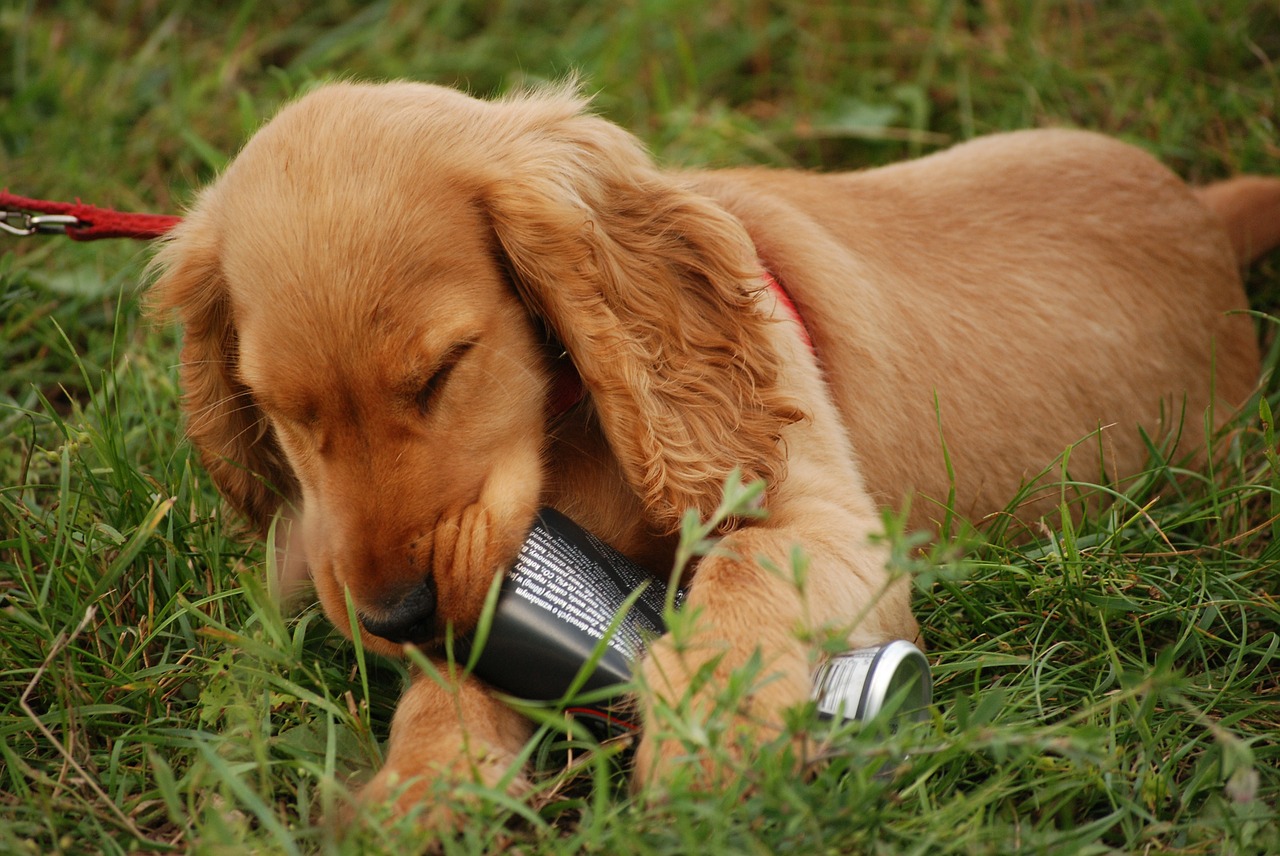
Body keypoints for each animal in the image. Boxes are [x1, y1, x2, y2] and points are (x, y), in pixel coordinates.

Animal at [145, 81, 1274, 818]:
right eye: (277, 409)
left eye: (441, 371)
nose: (392, 617)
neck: (570, 430)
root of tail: (1204, 220)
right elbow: (454, 680)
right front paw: (422, 789)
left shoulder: (828, 521)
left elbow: (744, 571)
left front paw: (712, 736)